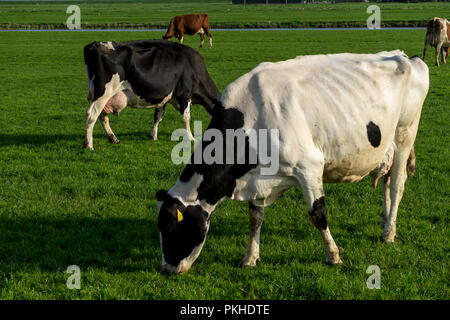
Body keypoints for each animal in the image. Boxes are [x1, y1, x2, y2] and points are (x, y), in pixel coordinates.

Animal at [83, 40, 221, 150]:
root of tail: (95, 44)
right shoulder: (184, 93)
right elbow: (186, 117)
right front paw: (191, 137)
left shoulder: (164, 98)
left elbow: (158, 116)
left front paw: (153, 135)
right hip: (103, 94)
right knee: (91, 115)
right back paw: (89, 145)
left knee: (103, 116)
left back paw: (113, 138)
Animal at [157, 50, 428, 276]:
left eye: (171, 227)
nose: (167, 269)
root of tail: (404, 56)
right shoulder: (258, 178)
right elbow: (255, 218)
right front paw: (250, 257)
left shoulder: (309, 167)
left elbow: (318, 215)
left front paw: (333, 256)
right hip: (386, 147)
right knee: (386, 181)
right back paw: (385, 221)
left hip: (405, 133)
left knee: (397, 183)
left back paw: (389, 232)